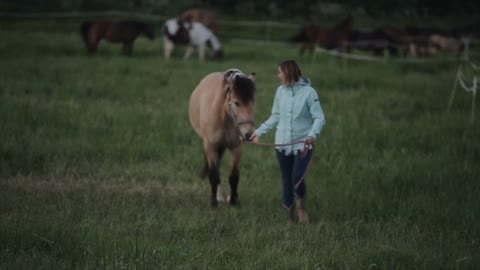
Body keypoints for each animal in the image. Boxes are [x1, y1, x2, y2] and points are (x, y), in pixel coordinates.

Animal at [188, 68, 256, 206]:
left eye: (253, 102)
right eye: (236, 103)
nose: (248, 134)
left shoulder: (237, 147)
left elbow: (234, 176)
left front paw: (233, 201)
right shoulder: (211, 146)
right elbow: (214, 175)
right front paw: (214, 202)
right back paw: (219, 196)